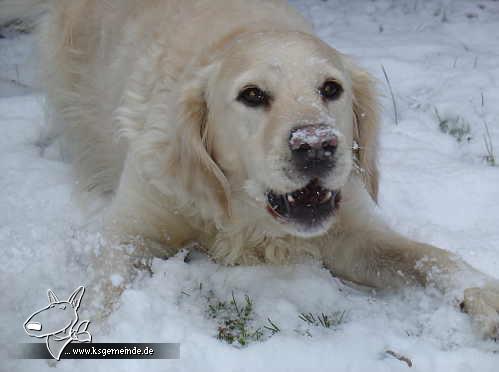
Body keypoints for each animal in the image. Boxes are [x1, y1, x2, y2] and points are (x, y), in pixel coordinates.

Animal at [6, 0, 496, 338]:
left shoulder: (353, 233)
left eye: (331, 89)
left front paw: (485, 295)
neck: (243, 211)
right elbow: (105, 290)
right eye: (253, 95)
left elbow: (430, 255)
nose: (316, 146)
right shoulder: (134, 229)